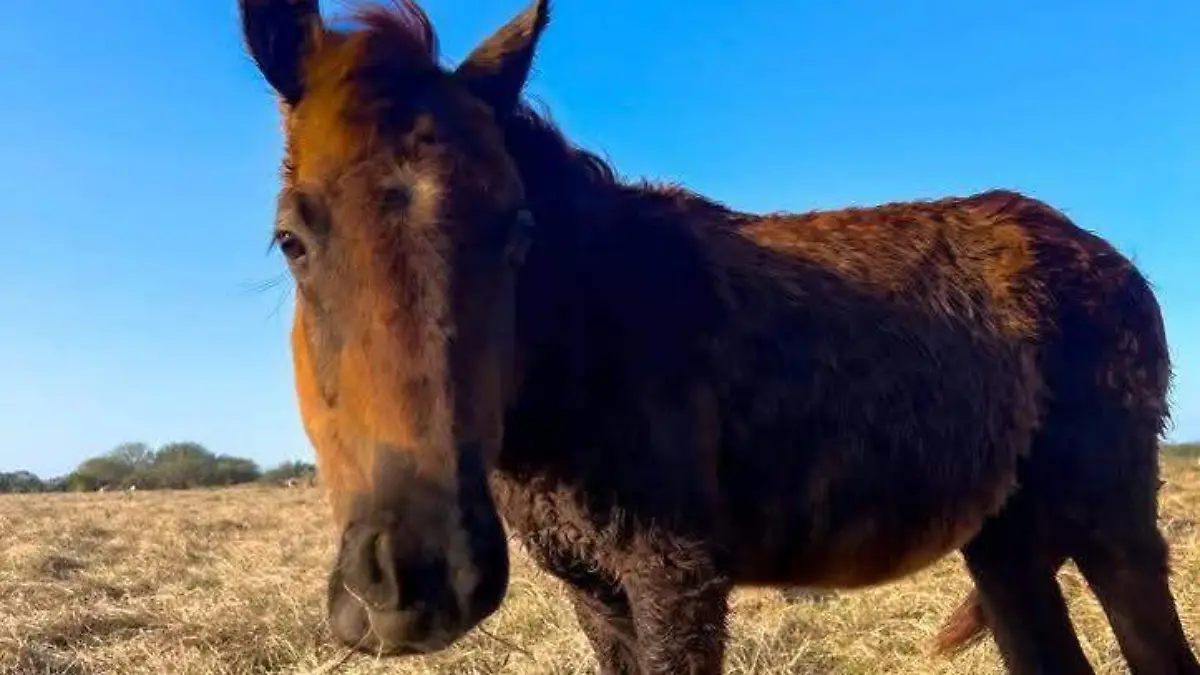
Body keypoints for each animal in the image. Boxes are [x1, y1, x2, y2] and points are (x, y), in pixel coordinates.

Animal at [236, 1, 1199, 672]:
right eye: (291, 237)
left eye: (517, 229)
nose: (416, 580)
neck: (594, 330)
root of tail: (1110, 259)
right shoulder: (597, 591)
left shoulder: (676, 576)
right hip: (1004, 540)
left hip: (1113, 521)